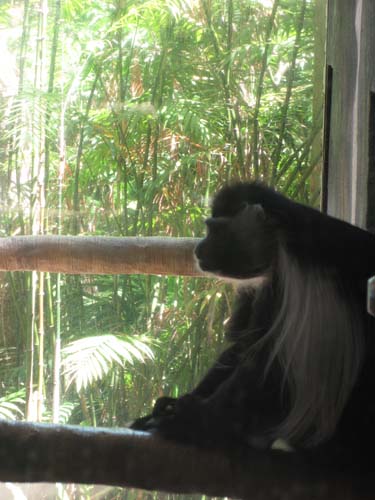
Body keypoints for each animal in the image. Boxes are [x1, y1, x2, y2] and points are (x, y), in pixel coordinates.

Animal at [131, 183, 375, 464]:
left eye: (216, 230)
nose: (198, 249)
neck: (280, 235)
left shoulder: (293, 281)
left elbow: (266, 367)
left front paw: (190, 421)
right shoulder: (259, 286)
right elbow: (242, 346)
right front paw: (175, 405)